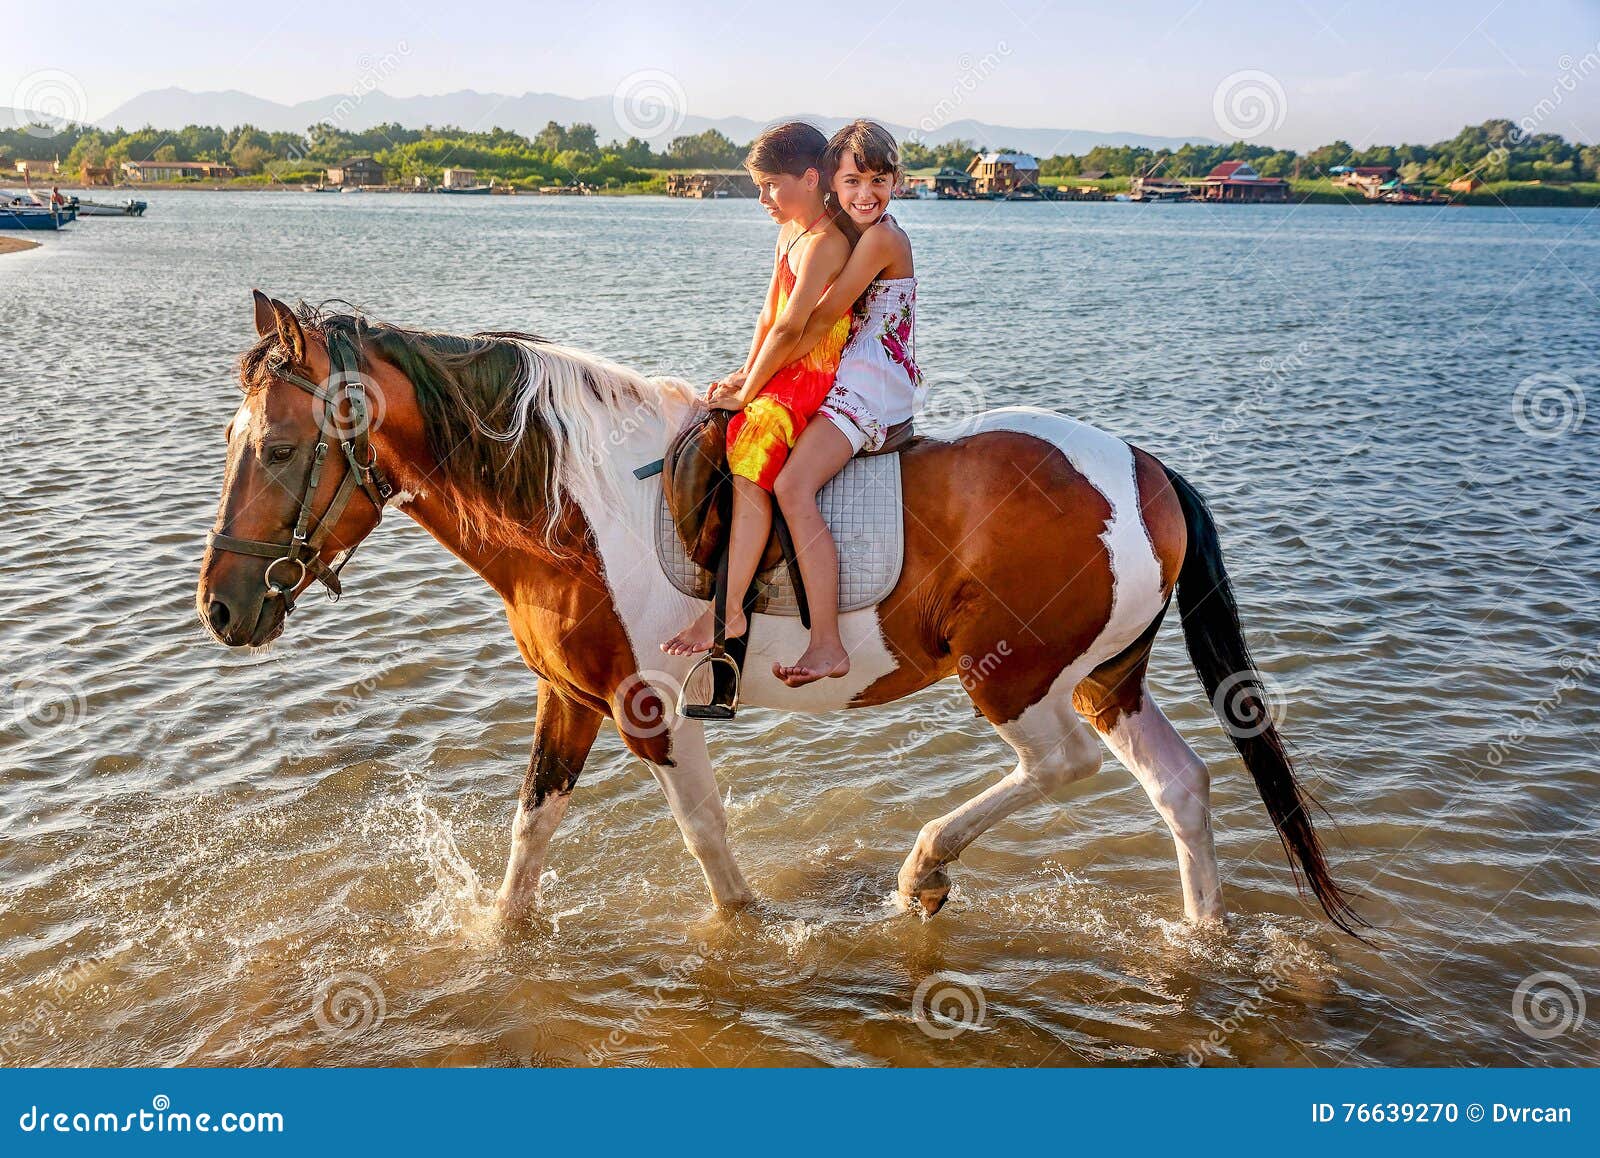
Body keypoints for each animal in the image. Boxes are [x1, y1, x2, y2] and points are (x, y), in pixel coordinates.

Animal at [193, 294, 1356, 934]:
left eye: (283, 449)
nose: (220, 606)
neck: (574, 500)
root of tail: (1146, 467)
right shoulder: (568, 699)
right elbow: (530, 829)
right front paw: (499, 939)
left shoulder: (645, 708)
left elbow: (705, 835)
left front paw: (748, 926)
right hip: (1106, 678)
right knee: (1182, 788)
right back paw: (1198, 941)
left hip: (1015, 674)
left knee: (1056, 766)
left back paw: (926, 869)